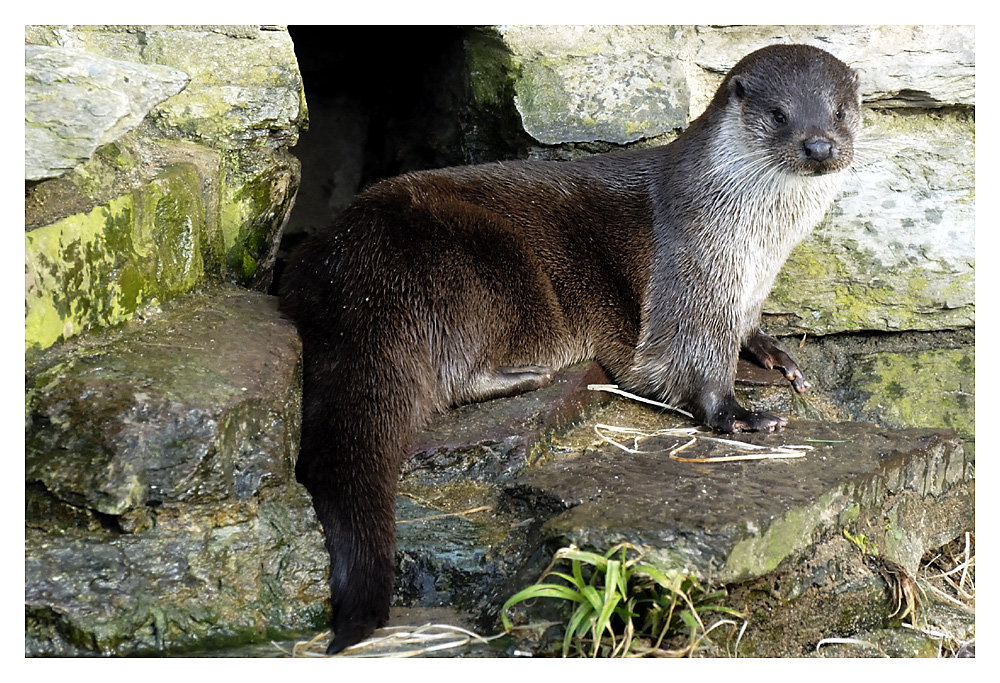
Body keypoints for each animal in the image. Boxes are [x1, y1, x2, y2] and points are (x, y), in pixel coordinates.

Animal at [280, 42, 860, 652]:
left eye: (839, 111)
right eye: (779, 115)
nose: (820, 145)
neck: (755, 242)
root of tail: (352, 269)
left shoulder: (749, 289)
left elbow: (745, 330)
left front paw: (773, 352)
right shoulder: (693, 268)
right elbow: (686, 358)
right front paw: (737, 414)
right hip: (480, 271)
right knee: (452, 374)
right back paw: (530, 375)